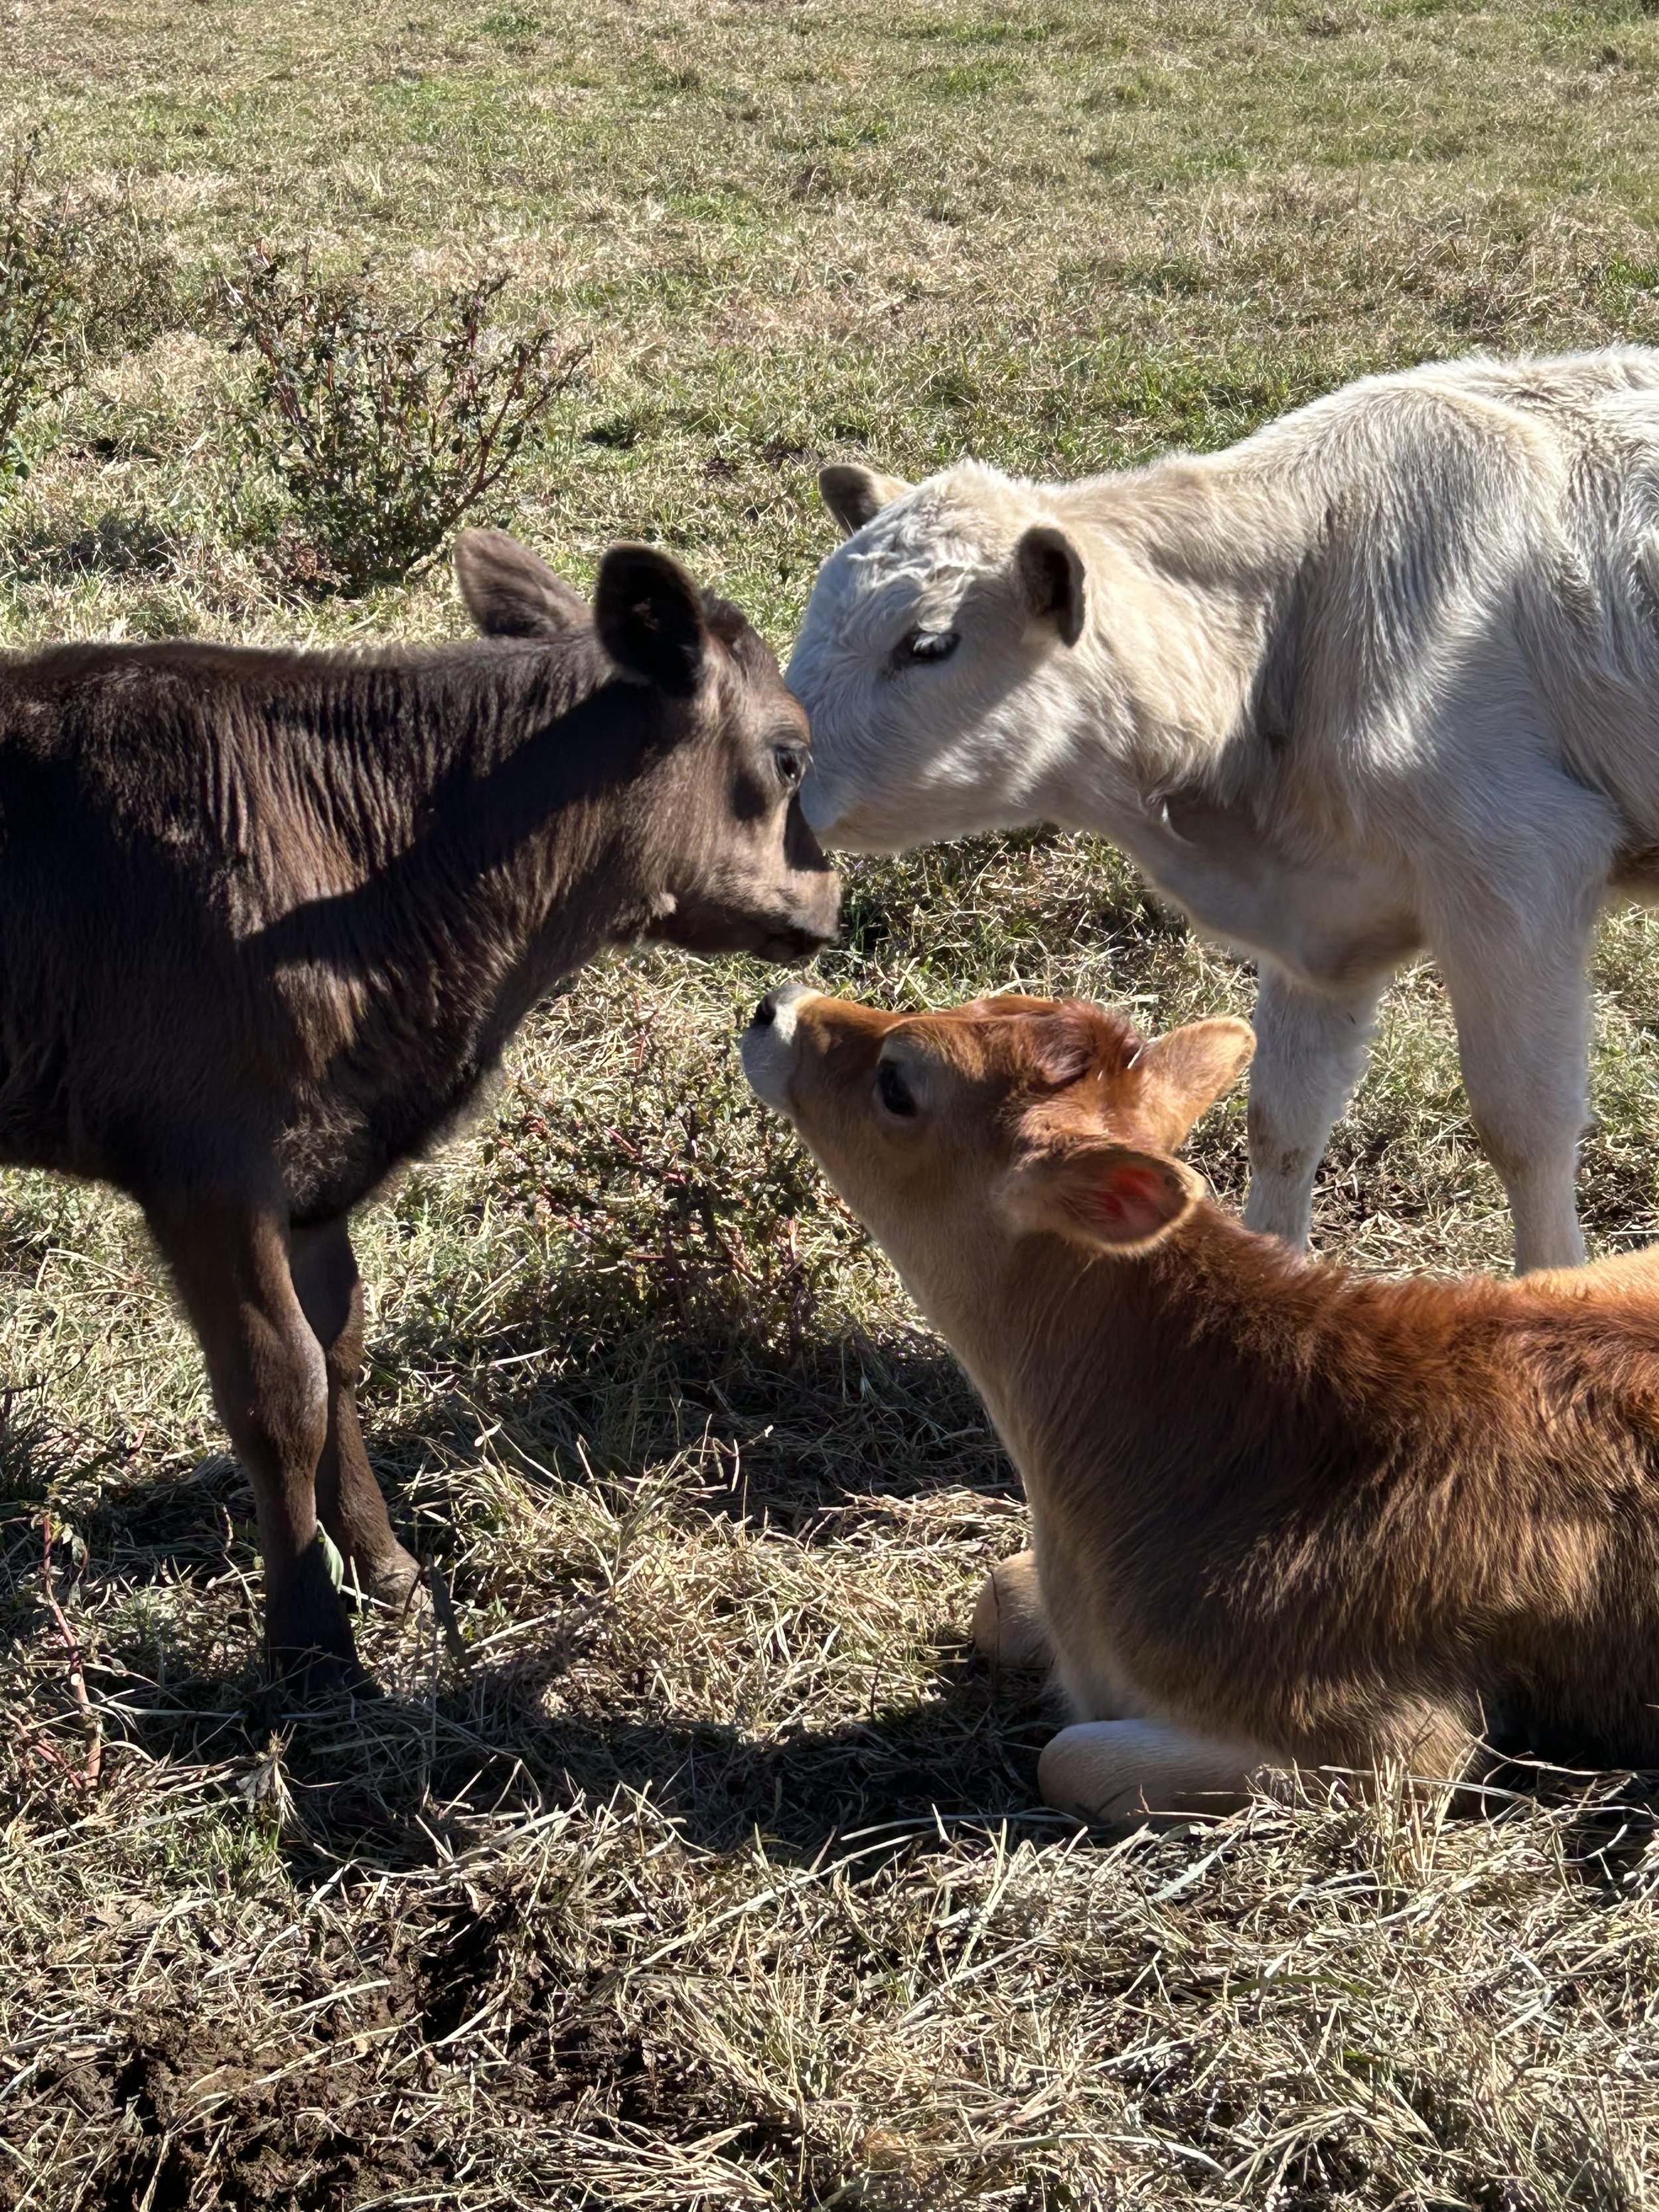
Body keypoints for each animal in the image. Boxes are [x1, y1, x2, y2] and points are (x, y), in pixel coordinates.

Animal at [5, 529, 838, 1684]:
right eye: (790, 755)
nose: (832, 896)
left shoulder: (320, 1169)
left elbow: (341, 1358)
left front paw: (387, 1570)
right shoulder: (206, 1169)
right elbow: (279, 1392)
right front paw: (313, 1644)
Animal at [783, 349, 1659, 1273]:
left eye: (928, 644)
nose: (766, 762)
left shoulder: (1519, 864)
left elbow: (1524, 1130)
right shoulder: (1322, 925)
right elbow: (1283, 1118)